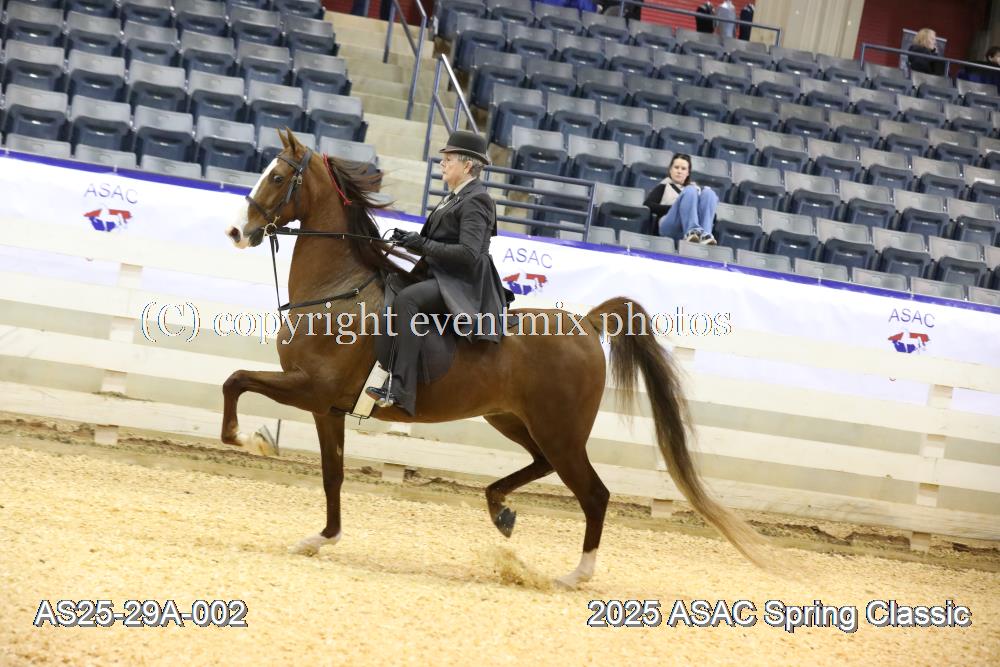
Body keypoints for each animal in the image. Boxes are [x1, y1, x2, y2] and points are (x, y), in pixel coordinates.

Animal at [222, 129, 765, 587]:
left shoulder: (311, 387)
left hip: (560, 430)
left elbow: (236, 380)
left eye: (276, 176)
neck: (339, 292)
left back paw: (574, 575)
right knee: (542, 466)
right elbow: (331, 475)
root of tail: (587, 324)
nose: (235, 232)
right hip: (513, 419)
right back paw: (499, 508)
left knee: (594, 493)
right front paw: (320, 539)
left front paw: (249, 440)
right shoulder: (326, 407)